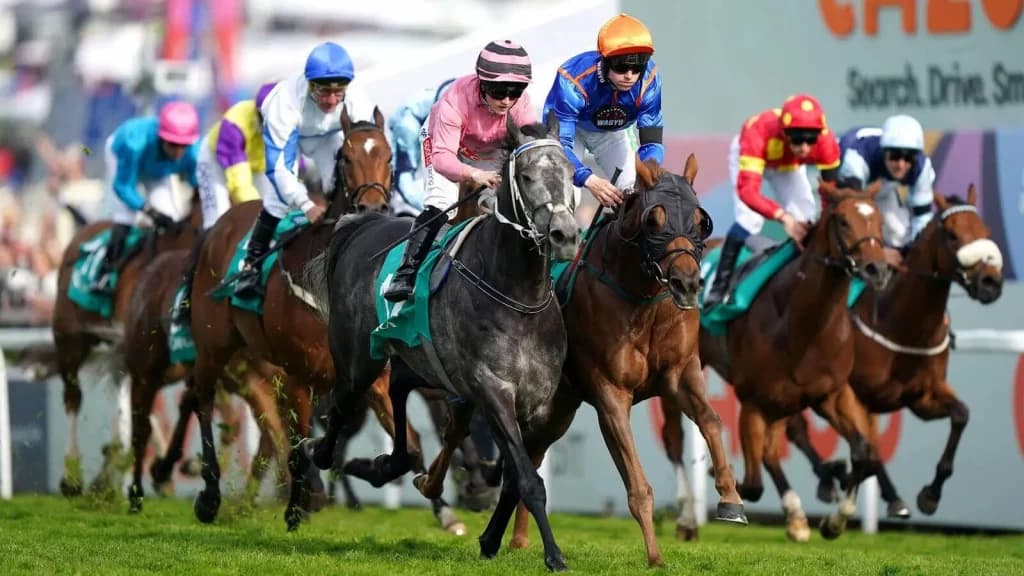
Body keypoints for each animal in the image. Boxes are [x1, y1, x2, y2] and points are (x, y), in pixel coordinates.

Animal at [299, 114, 578, 571]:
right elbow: (526, 479)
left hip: (415, 359)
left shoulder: (535, 404)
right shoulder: (491, 390)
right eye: (526, 175)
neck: (518, 296)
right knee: (339, 407)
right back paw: (316, 454)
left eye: (572, 174)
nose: (564, 236)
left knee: (397, 399)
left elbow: (514, 477)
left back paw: (383, 465)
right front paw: (554, 555)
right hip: (358, 359)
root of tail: (363, 225)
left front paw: (490, 538)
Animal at [698, 179, 894, 541]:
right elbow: (755, 481)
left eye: (879, 220)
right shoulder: (754, 402)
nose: (877, 269)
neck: (806, 326)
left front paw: (836, 519)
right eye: (843, 221)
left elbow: (862, 453)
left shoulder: (831, 394)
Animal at [784, 184, 1004, 519]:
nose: (991, 282)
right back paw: (828, 479)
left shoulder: (921, 397)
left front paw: (930, 494)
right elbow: (870, 451)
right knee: (795, 429)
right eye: (953, 235)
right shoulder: (856, 394)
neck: (901, 322)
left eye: (986, 231)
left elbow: (961, 415)